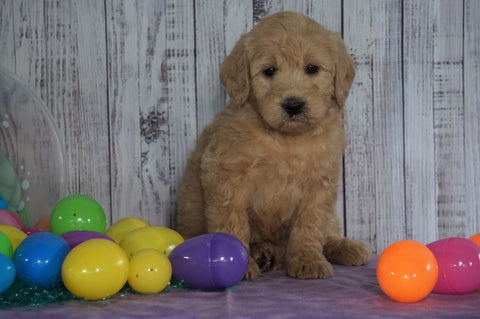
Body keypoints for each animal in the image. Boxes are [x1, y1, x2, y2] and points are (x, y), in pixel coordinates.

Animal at [175, 10, 372, 280]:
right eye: (269, 71)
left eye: (312, 68)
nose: (293, 105)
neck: (287, 139)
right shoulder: (226, 176)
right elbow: (232, 223)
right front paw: (241, 264)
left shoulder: (320, 184)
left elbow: (310, 225)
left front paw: (308, 259)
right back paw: (262, 254)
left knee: (328, 232)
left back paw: (344, 247)